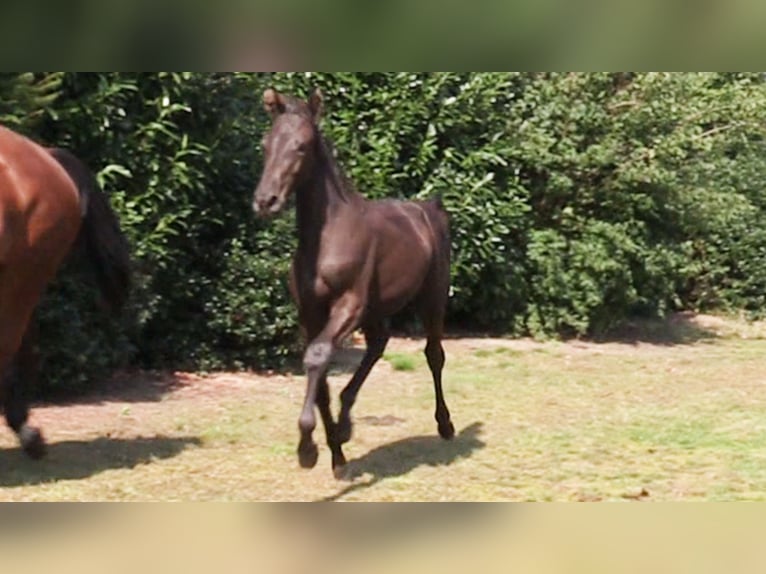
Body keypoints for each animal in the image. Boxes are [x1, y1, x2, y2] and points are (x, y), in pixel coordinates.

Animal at [252, 88, 456, 480]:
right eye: (265, 144)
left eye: (302, 146)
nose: (265, 201)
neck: (327, 238)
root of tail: (429, 208)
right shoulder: (310, 311)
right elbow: (320, 378)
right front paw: (336, 452)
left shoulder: (349, 303)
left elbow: (317, 356)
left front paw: (308, 449)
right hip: (378, 308)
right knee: (378, 345)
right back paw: (346, 425)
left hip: (433, 297)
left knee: (433, 355)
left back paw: (445, 425)